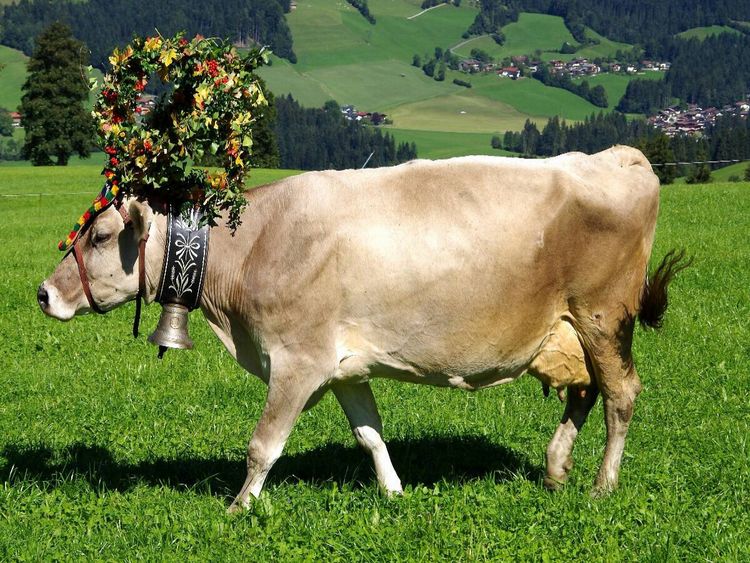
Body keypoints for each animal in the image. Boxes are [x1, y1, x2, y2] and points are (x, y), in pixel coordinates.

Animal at [38, 146, 688, 511]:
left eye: (101, 237)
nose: (44, 293)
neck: (249, 246)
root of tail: (618, 156)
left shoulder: (297, 360)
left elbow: (263, 445)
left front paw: (238, 509)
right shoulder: (344, 366)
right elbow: (370, 434)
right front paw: (394, 493)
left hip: (604, 316)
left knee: (621, 394)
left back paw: (603, 486)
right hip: (568, 329)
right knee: (584, 391)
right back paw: (555, 471)